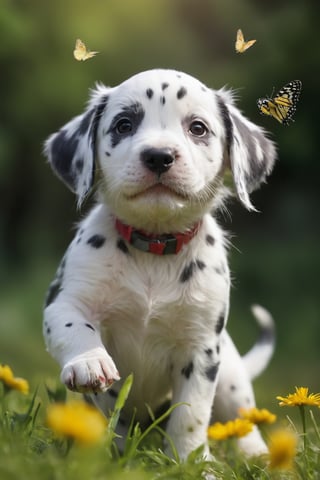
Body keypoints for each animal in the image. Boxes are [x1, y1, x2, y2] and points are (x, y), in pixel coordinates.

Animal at [43, 68, 276, 462]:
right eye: (123, 125)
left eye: (198, 128)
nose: (158, 156)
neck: (153, 250)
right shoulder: (64, 300)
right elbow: (74, 325)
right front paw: (89, 361)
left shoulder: (200, 350)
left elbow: (191, 417)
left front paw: (192, 463)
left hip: (231, 378)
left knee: (244, 421)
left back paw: (261, 457)